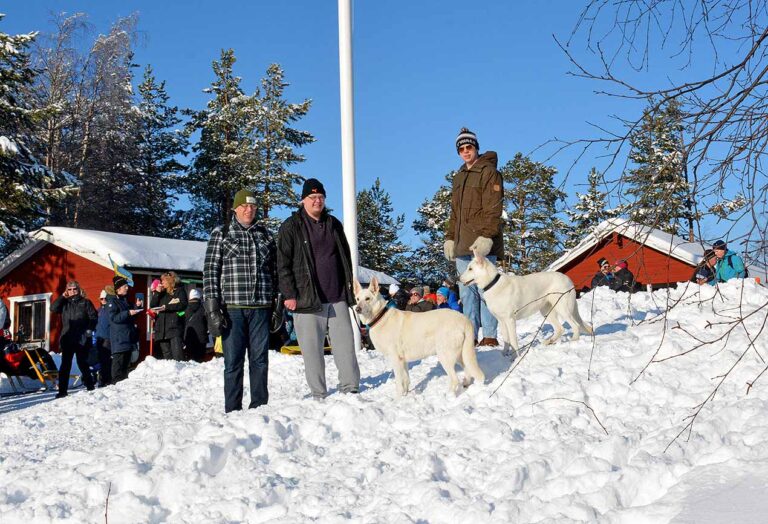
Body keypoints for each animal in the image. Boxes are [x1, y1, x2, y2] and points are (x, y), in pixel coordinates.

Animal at [356, 278, 486, 392]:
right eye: (357, 299)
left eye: (367, 299)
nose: (357, 309)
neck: (380, 317)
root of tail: (464, 319)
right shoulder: (403, 361)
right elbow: (406, 381)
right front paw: (406, 396)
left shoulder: (396, 360)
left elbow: (399, 384)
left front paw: (398, 400)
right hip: (460, 354)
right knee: (468, 370)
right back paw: (466, 384)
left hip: (445, 356)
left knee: (455, 380)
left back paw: (449, 395)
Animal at [460, 251, 592, 356]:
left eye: (470, 269)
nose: (458, 279)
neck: (493, 283)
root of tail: (568, 279)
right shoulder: (501, 321)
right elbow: (507, 340)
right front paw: (504, 354)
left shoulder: (510, 320)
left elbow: (513, 340)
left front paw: (515, 357)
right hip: (547, 311)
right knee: (560, 329)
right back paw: (548, 341)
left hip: (563, 308)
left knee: (575, 325)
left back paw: (573, 341)